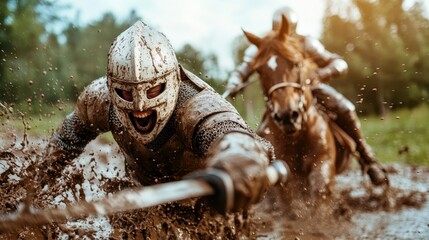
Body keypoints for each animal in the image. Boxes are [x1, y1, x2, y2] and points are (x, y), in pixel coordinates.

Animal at [241, 15, 352, 202]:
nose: (287, 116)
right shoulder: (285, 176)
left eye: (295, 63)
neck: (297, 136)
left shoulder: (323, 163)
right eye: (260, 71)